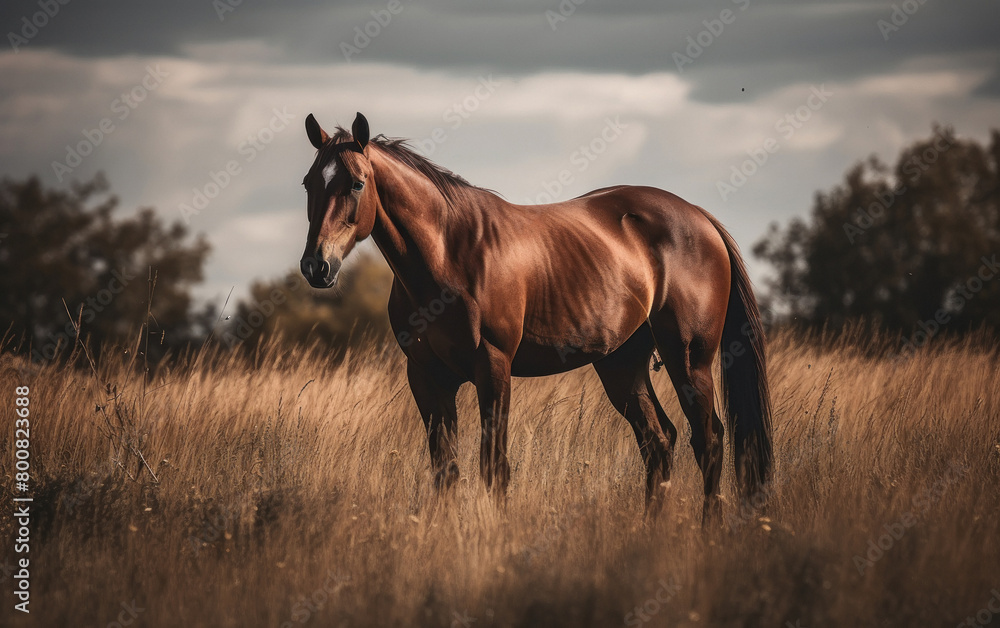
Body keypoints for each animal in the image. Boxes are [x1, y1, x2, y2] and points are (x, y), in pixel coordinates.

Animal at [299, 112, 772, 521]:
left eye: (356, 183)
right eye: (308, 184)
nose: (316, 266)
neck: (449, 252)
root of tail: (700, 218)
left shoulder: (493, 367)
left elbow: (494, 466)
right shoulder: (427, 377)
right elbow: (445, 469)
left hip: (689, 360)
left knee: (708, 439)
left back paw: (708, 532)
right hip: (622, 365)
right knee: (659, 442)